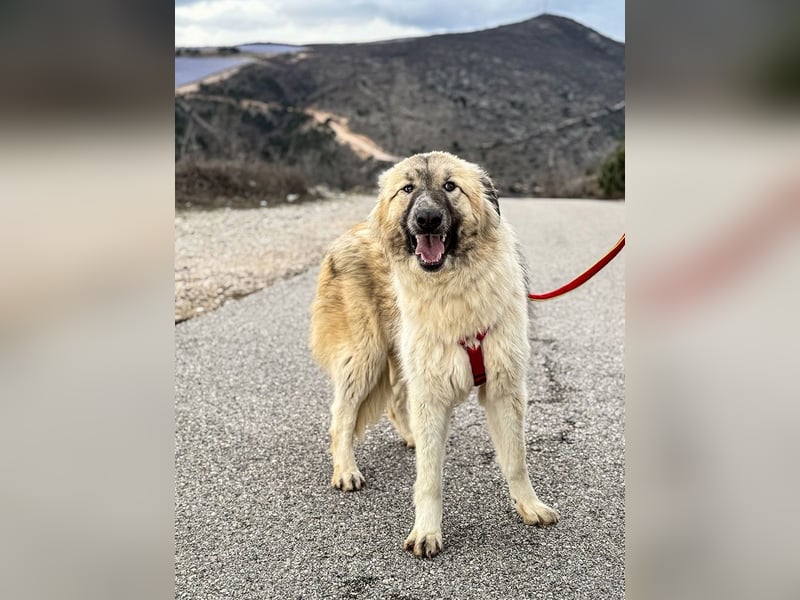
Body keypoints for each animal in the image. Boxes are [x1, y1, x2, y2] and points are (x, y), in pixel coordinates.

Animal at [310, 151, 559, 558]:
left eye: (450, 186)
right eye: (408, 188)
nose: (427, 219)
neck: (453, 290)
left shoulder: (503, 389)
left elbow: (516, 460)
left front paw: (529, 506)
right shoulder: (430, 388)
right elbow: (429, 478)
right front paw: (427, 531)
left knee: (396, 401)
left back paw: (410, 437)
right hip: (366, 358)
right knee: (342, 418)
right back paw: (346, 469)